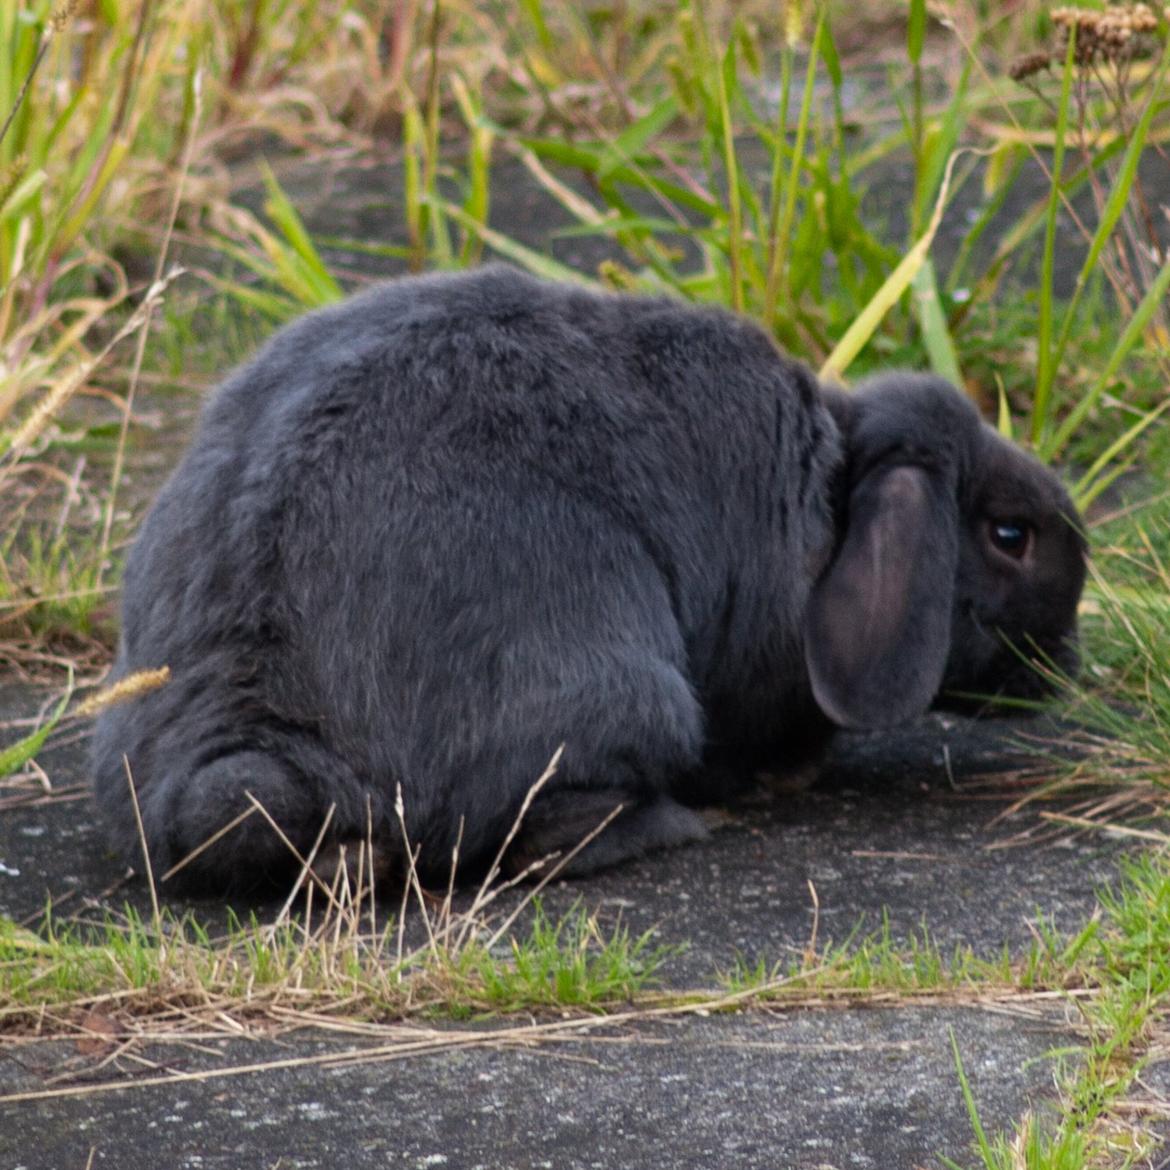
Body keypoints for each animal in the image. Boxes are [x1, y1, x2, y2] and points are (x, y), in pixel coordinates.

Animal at [91, 265, 1085, 889]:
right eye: (1010, 534)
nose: (1070, 658)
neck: (833, 497)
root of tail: (251, 740)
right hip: (627, 690)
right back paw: (676, 824)